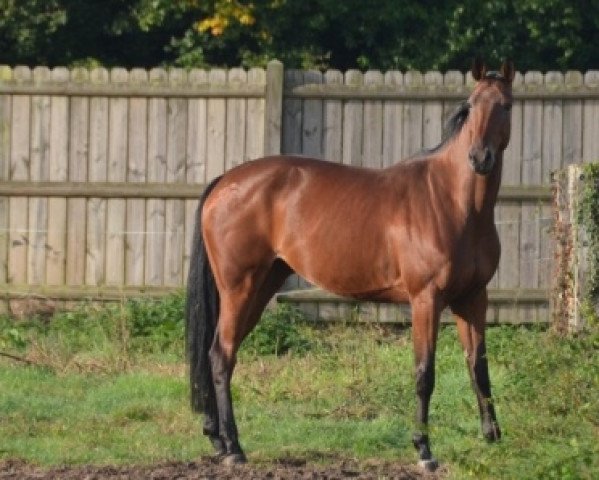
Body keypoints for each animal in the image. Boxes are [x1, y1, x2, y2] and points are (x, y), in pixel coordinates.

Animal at [186, 59, 516, 468]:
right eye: (471, 106)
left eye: (506, 106)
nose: (480, 158)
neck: (454, 203)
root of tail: (225, 182)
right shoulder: (426, 299)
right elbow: (425, 373)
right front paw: (423, 449)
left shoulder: (472, 298)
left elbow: (479, 366)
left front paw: (492, 436)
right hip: (239, 289)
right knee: (222, 355)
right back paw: (233, 447)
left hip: (260, 288)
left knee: (217, 354)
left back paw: (217, 438)